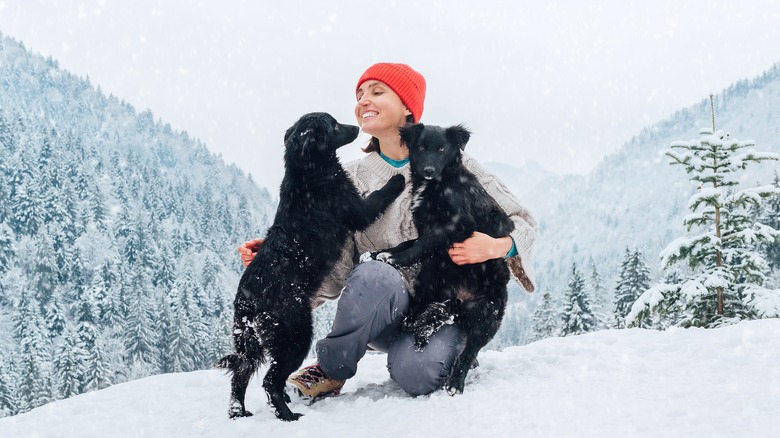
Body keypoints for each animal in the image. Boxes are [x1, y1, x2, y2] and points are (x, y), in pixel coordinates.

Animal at [216, 112, 406, 420]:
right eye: (335, 125)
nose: (357, 127)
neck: (308, 173)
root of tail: (247, 300)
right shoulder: (356, 210)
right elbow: (378, 196)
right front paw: (398, 180)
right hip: (294, 334)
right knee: (270, 380)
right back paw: (287, 415)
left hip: (250, 341)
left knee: (241, 373)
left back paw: (239, 413)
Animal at [364, 122, 516, 396]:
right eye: (422, 147)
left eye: (442, 149)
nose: (428, 170)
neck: (439, 184)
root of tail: (459, 301)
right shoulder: (426, 227)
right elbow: (410, 242)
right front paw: (382, 252)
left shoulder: (454, 226)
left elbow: (420, 245)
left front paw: (396, 259)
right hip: (432, 279)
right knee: (426, 311)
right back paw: (412, 323)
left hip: (486, 315)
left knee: (469, 351)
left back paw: (455, 382)